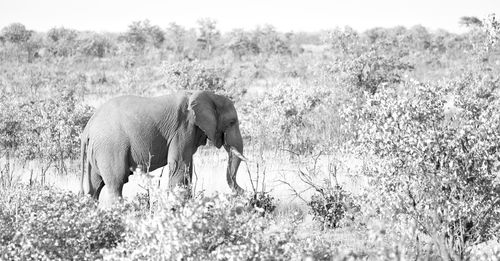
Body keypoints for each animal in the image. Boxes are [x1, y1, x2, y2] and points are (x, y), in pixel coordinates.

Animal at [78, 90, 248, 206]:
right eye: (232, 122)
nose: (246, 193)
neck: (206, 95)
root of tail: (88, 128)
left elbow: (187, 168)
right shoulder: (183, 129)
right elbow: (179, 166)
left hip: (97, 151)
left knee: (95, 187)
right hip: (110, 148)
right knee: (116, 183)